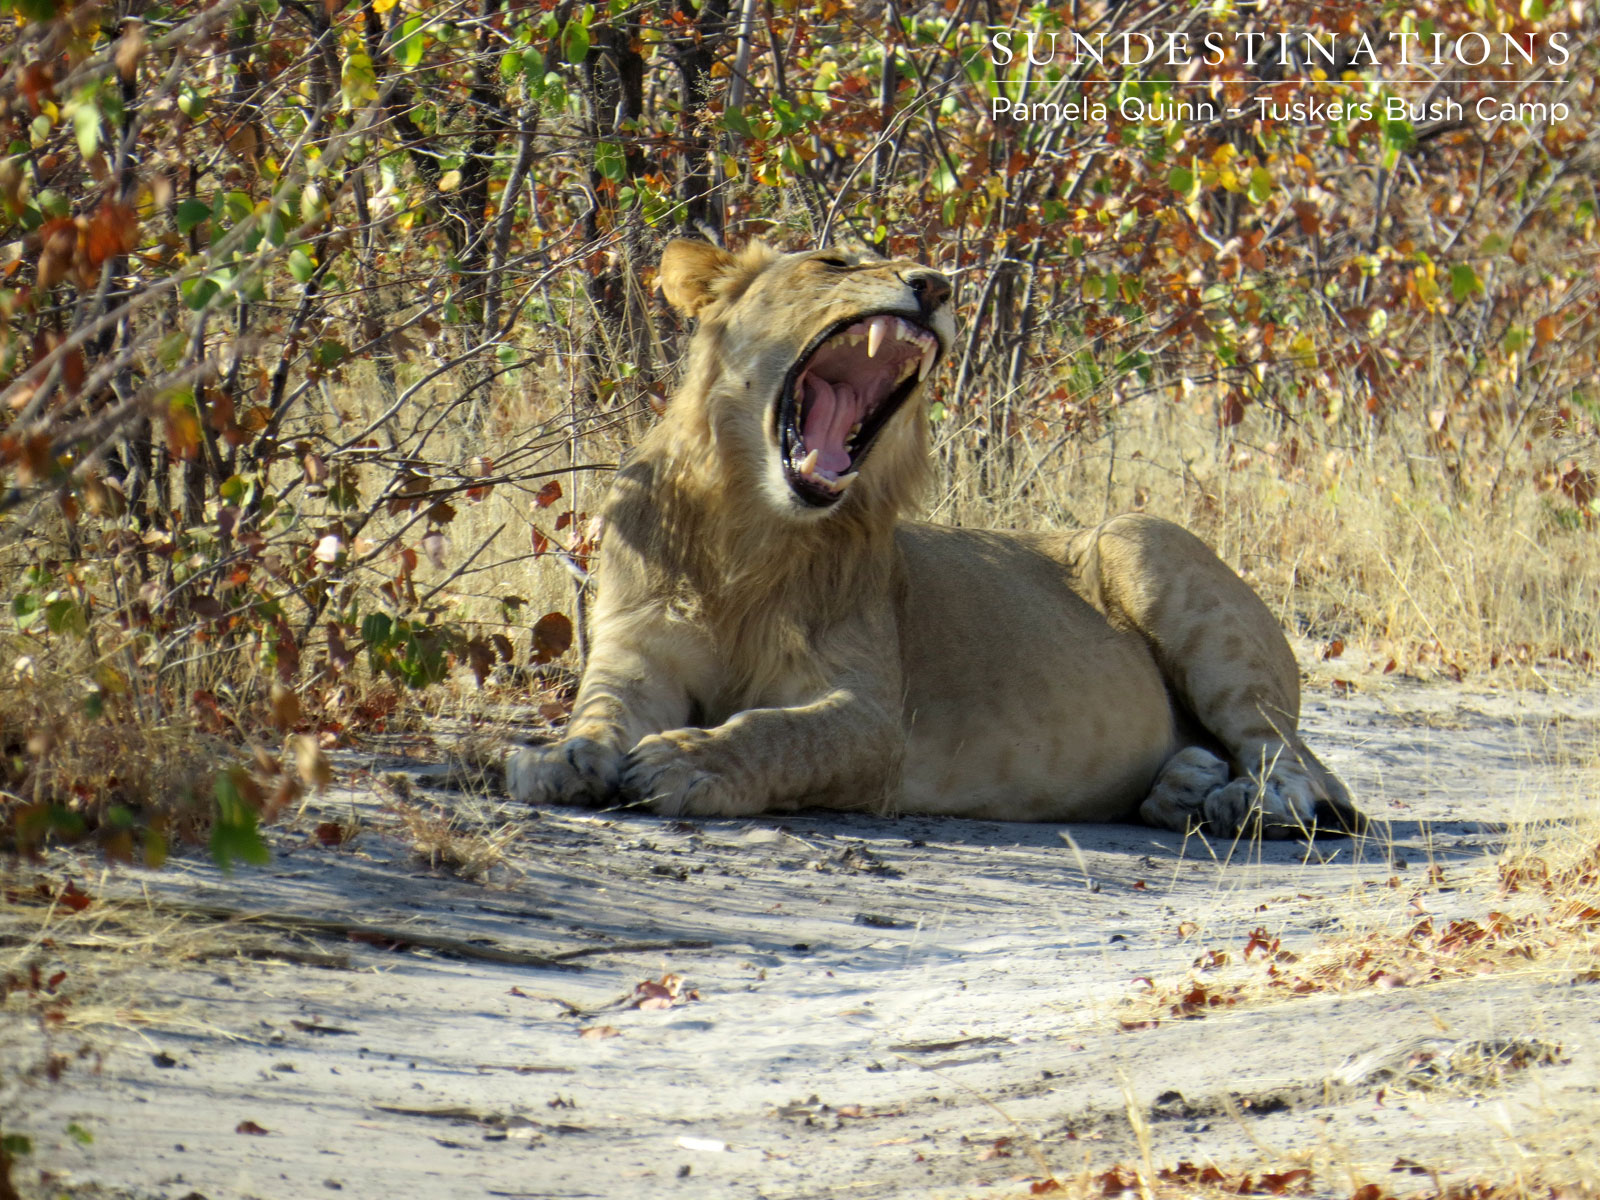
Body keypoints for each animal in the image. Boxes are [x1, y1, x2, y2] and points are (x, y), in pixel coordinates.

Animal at [506, 240, 1361, 839]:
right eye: (832, 262)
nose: (938, 285)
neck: (750, 530)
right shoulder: (637, 651)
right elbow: (600, 707)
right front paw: (559, 760)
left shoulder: (871, 716)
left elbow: (777, 731)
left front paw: (686, 760)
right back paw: (1187, 785)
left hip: (1144, 541)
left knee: (1303, 767)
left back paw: (1251, 806)